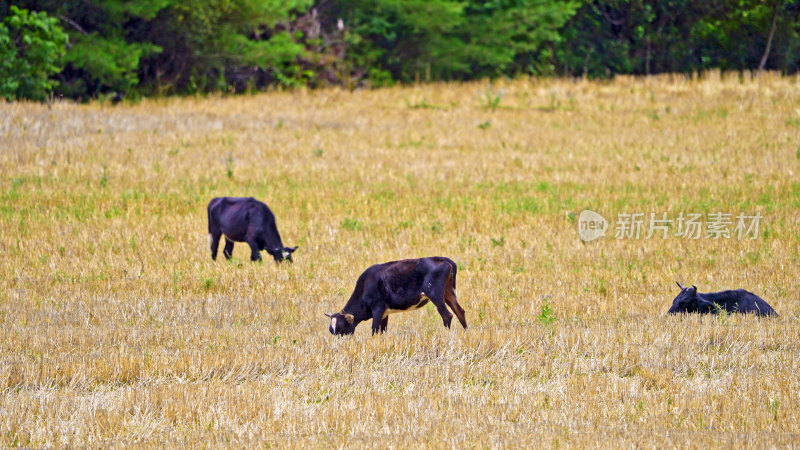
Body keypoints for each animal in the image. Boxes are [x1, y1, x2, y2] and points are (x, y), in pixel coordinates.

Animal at [324, 256, 466, 334]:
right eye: (332, 331)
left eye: (342, 329)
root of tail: (440, 259)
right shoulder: (385, 313)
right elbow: (382, 331)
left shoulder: (378, 309)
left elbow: (374, 330)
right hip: (448, 292)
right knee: (459, 311)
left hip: (435, 294)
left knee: (447, 315)